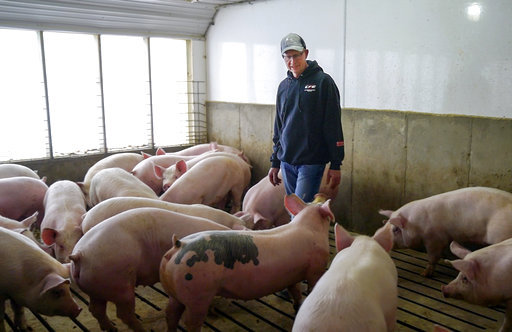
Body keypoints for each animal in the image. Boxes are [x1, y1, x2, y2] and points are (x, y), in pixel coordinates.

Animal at [69, 208, 229, 332]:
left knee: (96, 309)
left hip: (96, 288)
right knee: (123, 314)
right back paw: (141, 329)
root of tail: (79, 255)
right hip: (119, 285)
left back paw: (111, 328)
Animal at [160, 195, 334, 332]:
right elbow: (311, 287)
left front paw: (298, 306)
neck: (308, 227)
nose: (321, 196)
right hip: (198, 295)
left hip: (175, 294)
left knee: (170, 314)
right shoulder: (316, 268)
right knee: (190, 322)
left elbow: (296, 291)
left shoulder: (293, 274)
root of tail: (178, 246)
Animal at [378, 187, 512, 278]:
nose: (375, 238)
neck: (416, 224)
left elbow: (433, 256)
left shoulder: (435, 238)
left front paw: (424, 274)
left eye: (395, 229)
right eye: (384, 224)